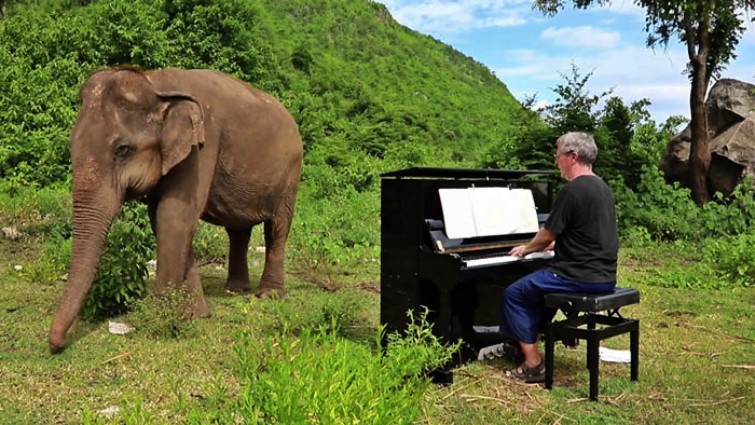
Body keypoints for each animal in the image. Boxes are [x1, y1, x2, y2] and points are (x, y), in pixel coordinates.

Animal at [48, 67, 303, 353]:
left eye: (123, 150)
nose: (56, 345)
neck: (156, 83)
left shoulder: (203, 144)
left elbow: (174, 214)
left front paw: (159, 316)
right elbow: (162, 219)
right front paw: (196, 314)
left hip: (291, 174)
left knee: (277, 229)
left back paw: (268, 295)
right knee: (238, 231)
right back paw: (235, 290)